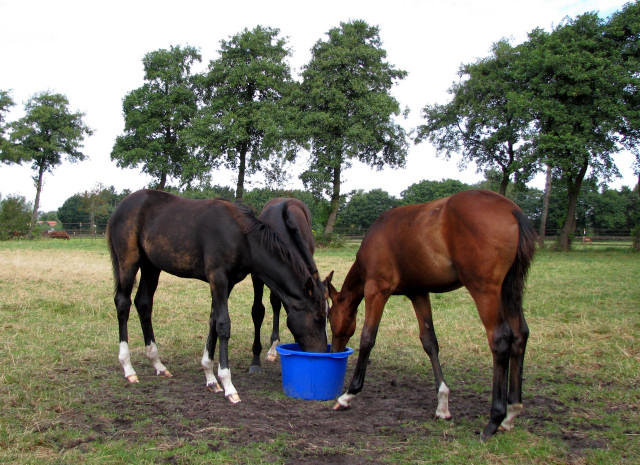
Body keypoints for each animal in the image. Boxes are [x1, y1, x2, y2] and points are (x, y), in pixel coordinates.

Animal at [249, 198, 320, 372]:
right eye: (317, 319)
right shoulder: (257, 276)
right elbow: (258, 311)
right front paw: (255, 360)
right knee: (275, 303)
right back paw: (272, 348)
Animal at [324, 188, 536, 438]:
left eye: (329, 317)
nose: (335, 351)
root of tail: (512, 210)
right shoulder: (418, 293)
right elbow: (429, 341)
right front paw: (442, 404)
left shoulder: (376, 290)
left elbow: (368, 338)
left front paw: (349, 395)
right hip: (509, 292)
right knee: (520, 335)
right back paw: (511, 413)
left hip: (485, 290)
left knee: (500, 339)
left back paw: (494, 419)